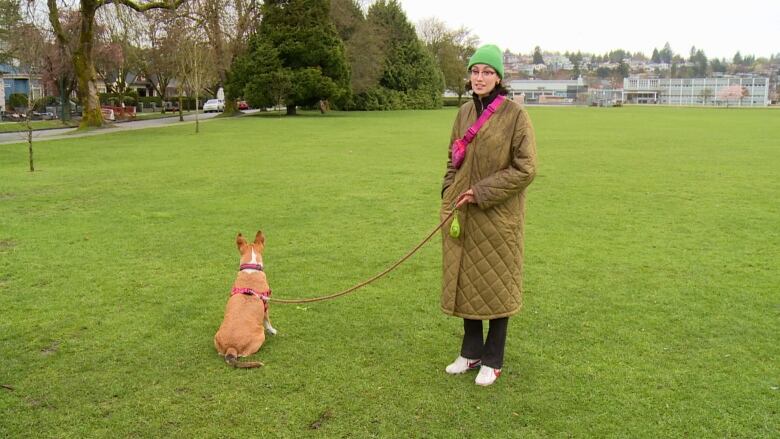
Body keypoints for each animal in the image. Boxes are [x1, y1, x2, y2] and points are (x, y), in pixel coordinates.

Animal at [213, 232, 278, 370]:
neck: (251, 268)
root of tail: (231, 349)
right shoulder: (266, 306)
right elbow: (267, 321)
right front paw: (272, 330)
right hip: (260, 335)